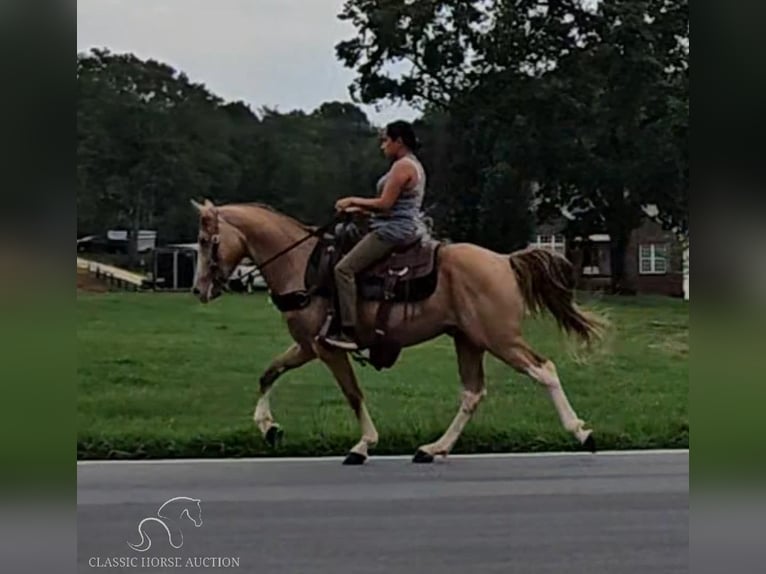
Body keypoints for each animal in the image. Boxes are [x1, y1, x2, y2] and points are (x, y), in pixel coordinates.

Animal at [190, 200, 608, 466]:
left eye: (206, 242)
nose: (199, 289)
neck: (303, 265)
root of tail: (505, 260)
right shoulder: (309, 346)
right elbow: (269, 372)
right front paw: (268, 427)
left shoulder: (328, 349)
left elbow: (353, 394)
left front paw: (363, 445)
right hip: (468, 340)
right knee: (472, 393)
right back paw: (434, 448)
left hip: (499, 338)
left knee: (544, 369)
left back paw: (581, 433)